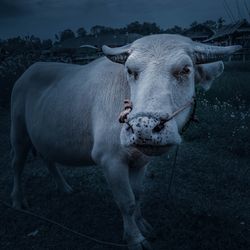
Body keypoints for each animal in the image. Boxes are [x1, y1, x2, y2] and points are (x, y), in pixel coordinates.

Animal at [11, 34, 240, 249]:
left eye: (185, 70)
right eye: (130, 71)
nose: (144, 128)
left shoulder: (141, 162)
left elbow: (137, 195)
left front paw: (142, 224)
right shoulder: (110, 161)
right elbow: (126, 202)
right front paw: (135, 238)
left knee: (47, 158)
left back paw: (64, 188)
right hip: (19, 133)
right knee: (18, 164)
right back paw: (18, 200)